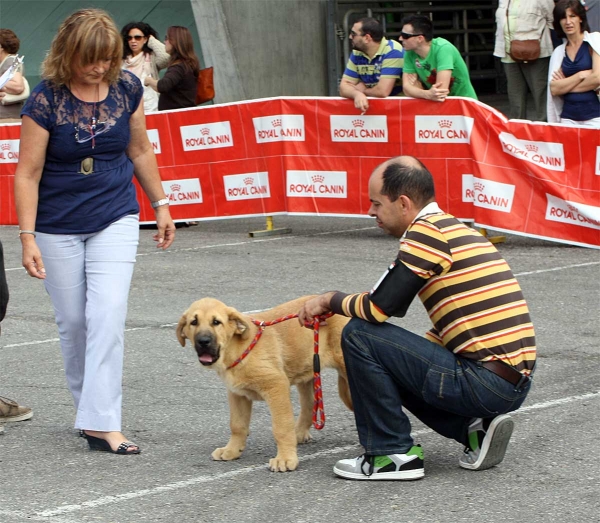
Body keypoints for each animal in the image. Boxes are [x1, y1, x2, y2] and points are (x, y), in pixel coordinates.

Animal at [175, 296, 352, 472]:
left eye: (216, 322)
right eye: (193, 322)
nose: (203, 341)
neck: (238, 349)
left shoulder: (276, 386)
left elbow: (281, 427)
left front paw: (285, 458)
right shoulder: (237, 394)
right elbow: (237, 425)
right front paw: (232, 450)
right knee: (309, 406)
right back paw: (299, 434)